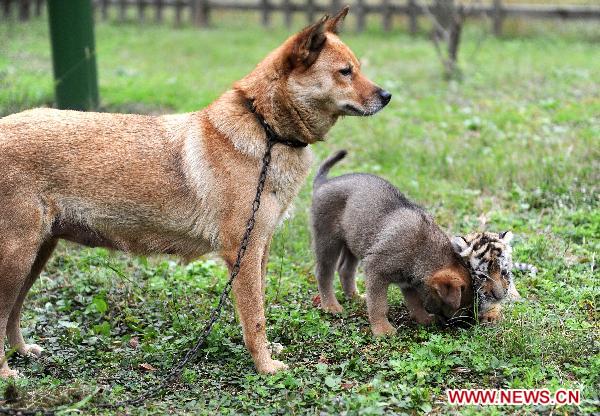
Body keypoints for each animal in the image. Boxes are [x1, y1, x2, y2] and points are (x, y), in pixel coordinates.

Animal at [0, 6, 392, 376]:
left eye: (357, 68)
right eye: (345, 72)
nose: (387, 96)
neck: (265, 127)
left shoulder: (260, 249)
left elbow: (259, 309)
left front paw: (268, 352)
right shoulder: (242, 252)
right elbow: (255, 317)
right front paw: (265, 367)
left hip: (36, 255)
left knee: (13, 313)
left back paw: (22, 352)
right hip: (17, 258)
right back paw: (7, 374)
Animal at [310, 150, 474, 334]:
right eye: (464, 305)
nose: (470, 324)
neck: (422, 251)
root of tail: (323, 183)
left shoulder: (408, 284)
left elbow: (415, 304)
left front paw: (423, 319)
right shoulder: (376, 272)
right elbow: (379, 305)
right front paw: (382, 330)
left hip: (353, 243)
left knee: (345, 270)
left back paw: (355, 297)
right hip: (327, 241)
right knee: (324, 273)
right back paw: (330, 305)